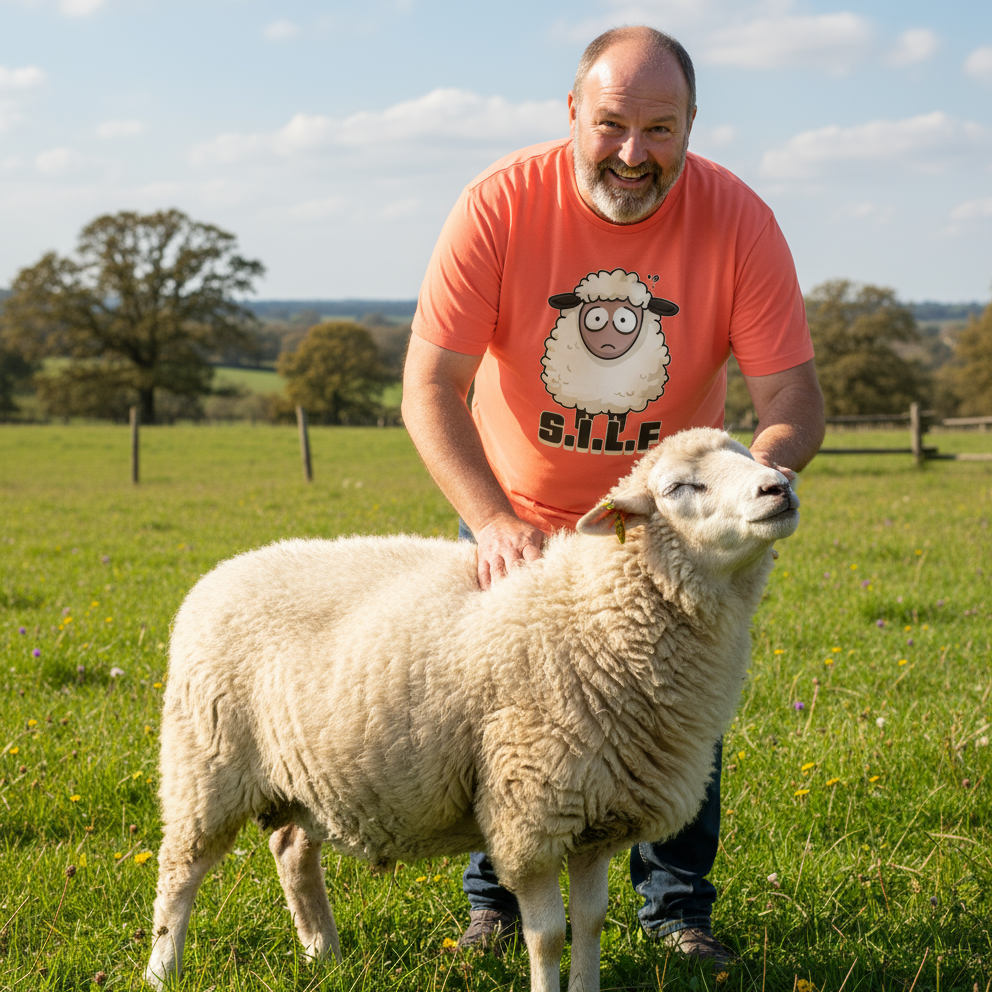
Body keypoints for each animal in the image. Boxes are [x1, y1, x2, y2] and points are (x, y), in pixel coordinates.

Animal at [145, 427, 799, 992]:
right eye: (680, 487)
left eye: (752, 457)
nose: (779, 487)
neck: (593, 610)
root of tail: (219, 573)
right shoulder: (531, 813)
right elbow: (548, 935)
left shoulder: (597, 815)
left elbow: (589, 925)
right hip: (206, 763)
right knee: (180, 870)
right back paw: (161, 968)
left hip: (306, 771)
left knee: (291, 852)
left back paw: (322, 953)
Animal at [541, 268, 678, 432]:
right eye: (596, 318)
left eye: (624, 320)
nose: (608, 341)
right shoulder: (584, 398)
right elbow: (584, 414)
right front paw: (582, 424)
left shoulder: (620, 401)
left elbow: (617, 417)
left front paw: (616, 427)